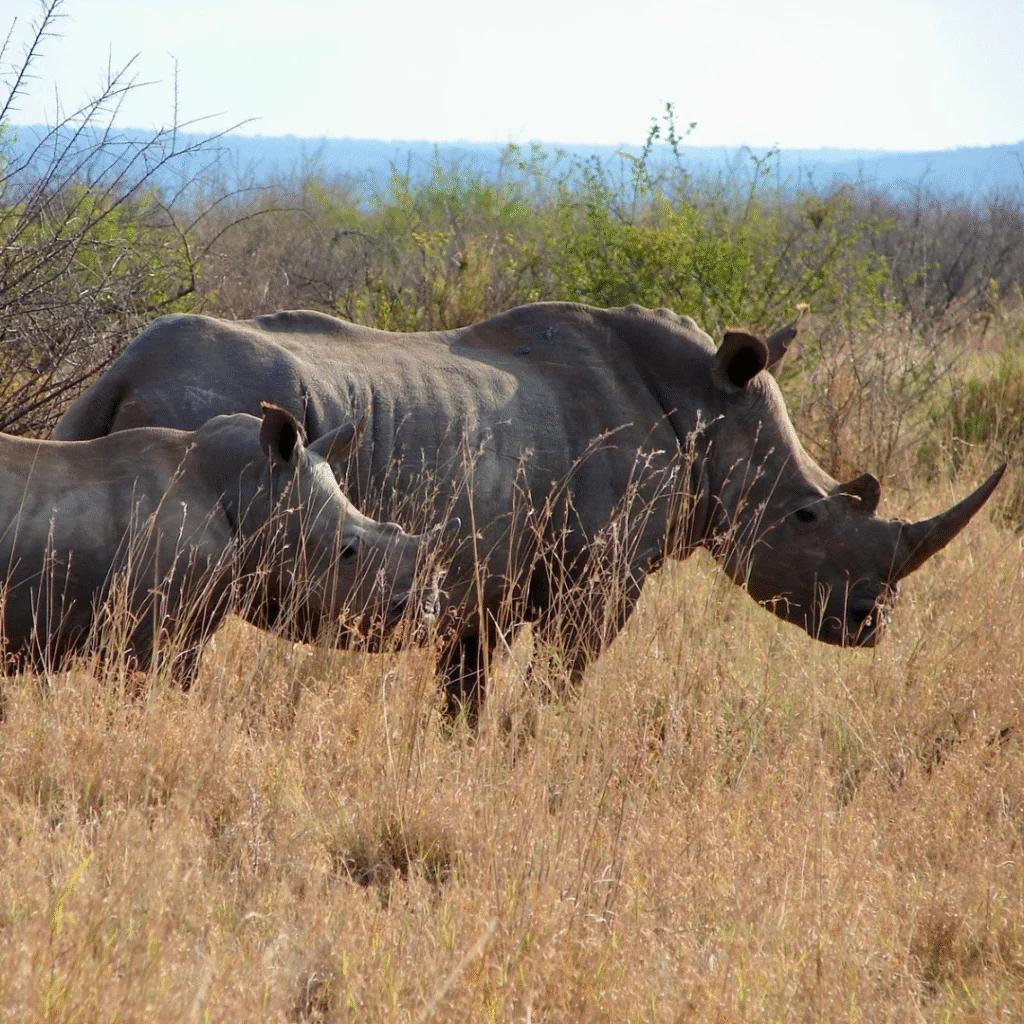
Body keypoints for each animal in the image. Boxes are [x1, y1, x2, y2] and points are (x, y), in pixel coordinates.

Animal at [53, 303, 1004, 716]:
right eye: (809, 519)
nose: (870, 622)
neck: (708, 407)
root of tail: (120, 372)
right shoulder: (602, 575)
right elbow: (560, 678)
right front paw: (534, 746)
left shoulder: (487, 573)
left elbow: (464, 690)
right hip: (205, 404)